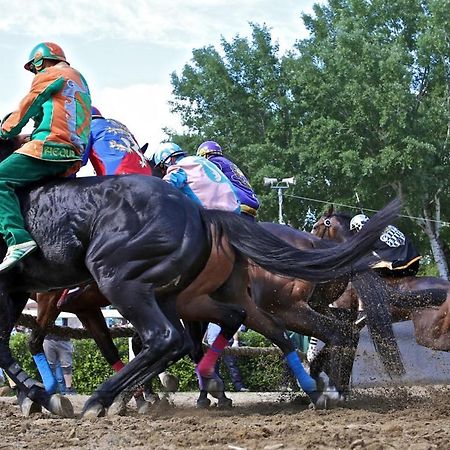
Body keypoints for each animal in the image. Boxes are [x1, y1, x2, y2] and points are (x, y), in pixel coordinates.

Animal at [0, 138, 402, 418]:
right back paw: (318, 389)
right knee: (309, 333)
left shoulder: (65, 299)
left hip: (252, 302)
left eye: (322, 222)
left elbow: (45, 341)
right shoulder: (79, 302)